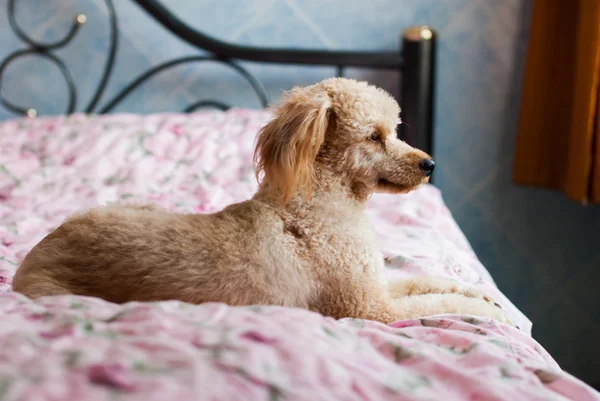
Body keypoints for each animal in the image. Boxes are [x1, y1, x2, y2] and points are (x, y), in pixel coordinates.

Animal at [11, 77, 512, 324]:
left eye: (396, 129)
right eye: (375, 136)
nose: (430, 165)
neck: (317, 208)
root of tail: (31, 260)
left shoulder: (376, 284)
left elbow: (428, 282)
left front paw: (488, 298)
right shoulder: (367, 308)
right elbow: (436, 305)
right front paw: (491, 315)